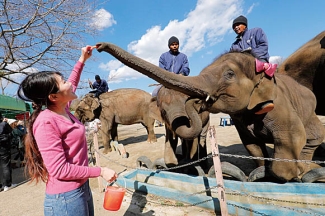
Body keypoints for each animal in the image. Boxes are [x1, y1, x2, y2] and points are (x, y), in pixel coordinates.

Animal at [95, 41, 324, 182]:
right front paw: (174, 164)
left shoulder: (279, 104)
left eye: (229, 74)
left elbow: (291, 137)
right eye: (163, 110)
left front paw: (289, 175)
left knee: (310, 138)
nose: (98, 46)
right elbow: (253, 146)